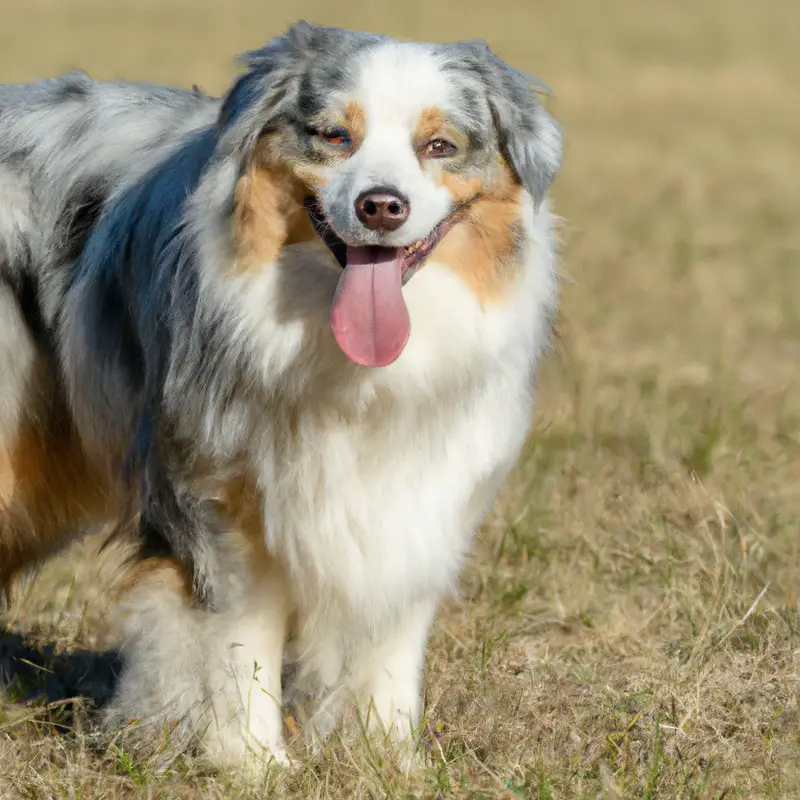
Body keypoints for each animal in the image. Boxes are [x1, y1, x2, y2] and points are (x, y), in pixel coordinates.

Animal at [0, 23, 564, 768]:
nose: (381, 206)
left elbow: (391, 640)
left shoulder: (419, 489)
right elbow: (236, 644)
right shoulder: (215, 492)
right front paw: (249, 763)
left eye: (438, 146)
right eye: (334, 136)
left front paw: (389, 760)